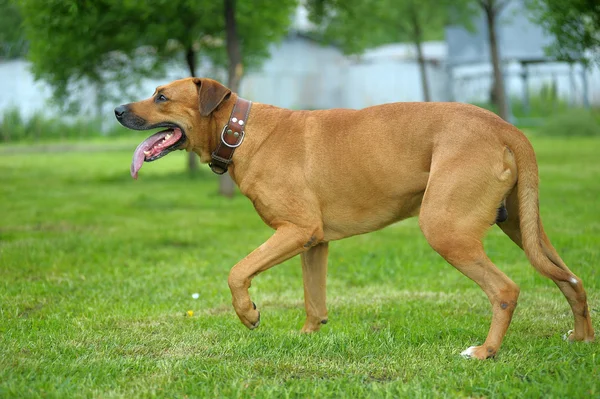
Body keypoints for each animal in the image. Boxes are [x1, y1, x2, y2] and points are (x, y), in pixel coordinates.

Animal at [113, 77, 596, 360]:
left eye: (161, 97)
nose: (117, 111)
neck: (240, 130)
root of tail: (505, 127)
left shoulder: (296, 231)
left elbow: (237, 271)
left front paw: (249, 314)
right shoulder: (313, 241)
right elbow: (313, 299)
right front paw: (307, 335)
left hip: (446, 229)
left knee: (505, 290)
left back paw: (486, 351)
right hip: (522, 227)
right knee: (571, 280)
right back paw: (582, 338)